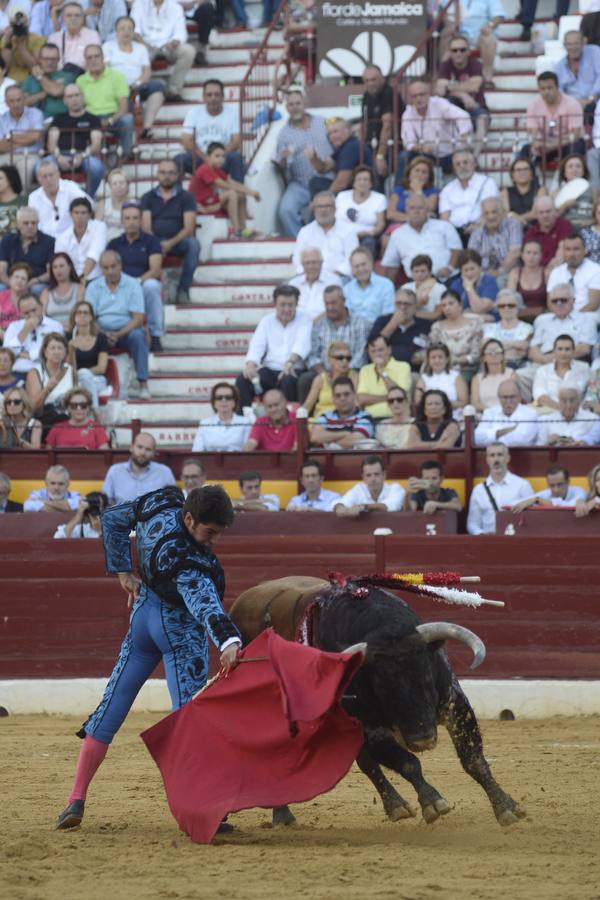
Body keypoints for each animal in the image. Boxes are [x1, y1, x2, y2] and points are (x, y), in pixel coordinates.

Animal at [230, 576, 524, 828]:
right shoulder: (370, 729)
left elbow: (473, 759)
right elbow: (407, 763)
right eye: (382, 686)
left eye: (426, 673)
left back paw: (395, 806)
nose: (422, 739)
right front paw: (433, 802)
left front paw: (506, 807)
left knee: (366, 764)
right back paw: (283, 816)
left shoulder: (454, 704)